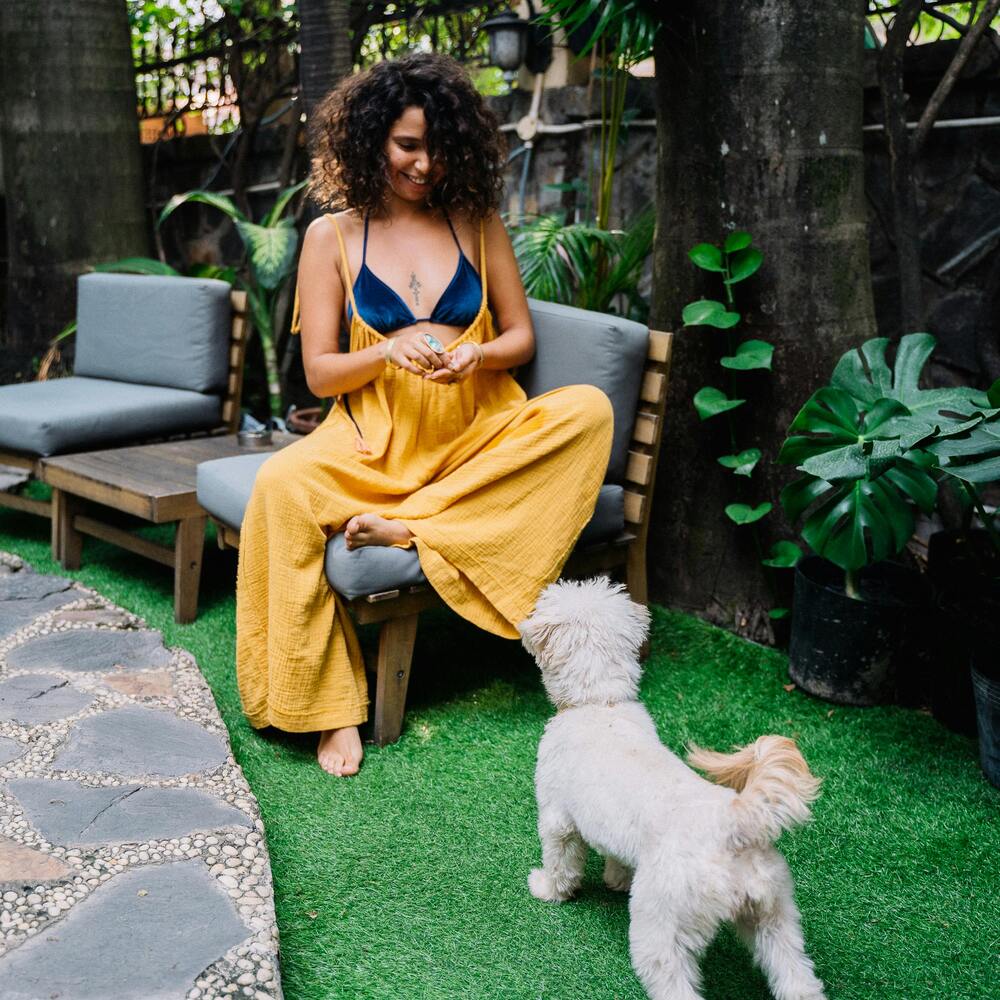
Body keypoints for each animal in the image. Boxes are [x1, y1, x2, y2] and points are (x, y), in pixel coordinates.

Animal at [520, 576, 824, 1000]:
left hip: (664, 925)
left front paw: (548, 889)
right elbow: (616, 857)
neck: (601, 705)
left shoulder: (556, 818)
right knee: (797, 978)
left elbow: (561, 863)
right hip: (774, 919)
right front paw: (616, 880)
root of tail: (735, 821)